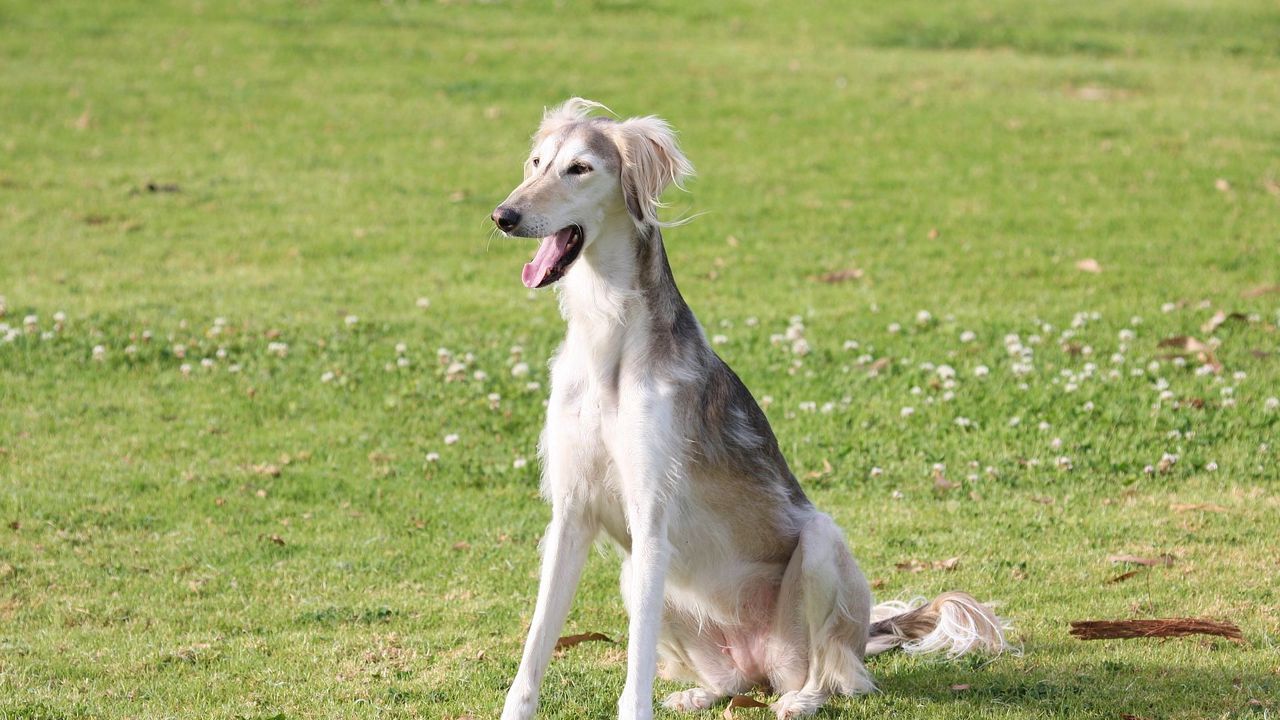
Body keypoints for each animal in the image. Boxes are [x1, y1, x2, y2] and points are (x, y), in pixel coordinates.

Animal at [488, 96, 1008, 717]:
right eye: (536, 162)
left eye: (580, 168)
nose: (503, 215)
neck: (606, 343)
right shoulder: (570, 515)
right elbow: (537, 639)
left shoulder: (651, 516)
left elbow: (635, 663)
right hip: (642, 579)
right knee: (732, 681)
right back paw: (701, 692)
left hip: (819, 550)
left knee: (833, 673)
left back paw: (803, 698)